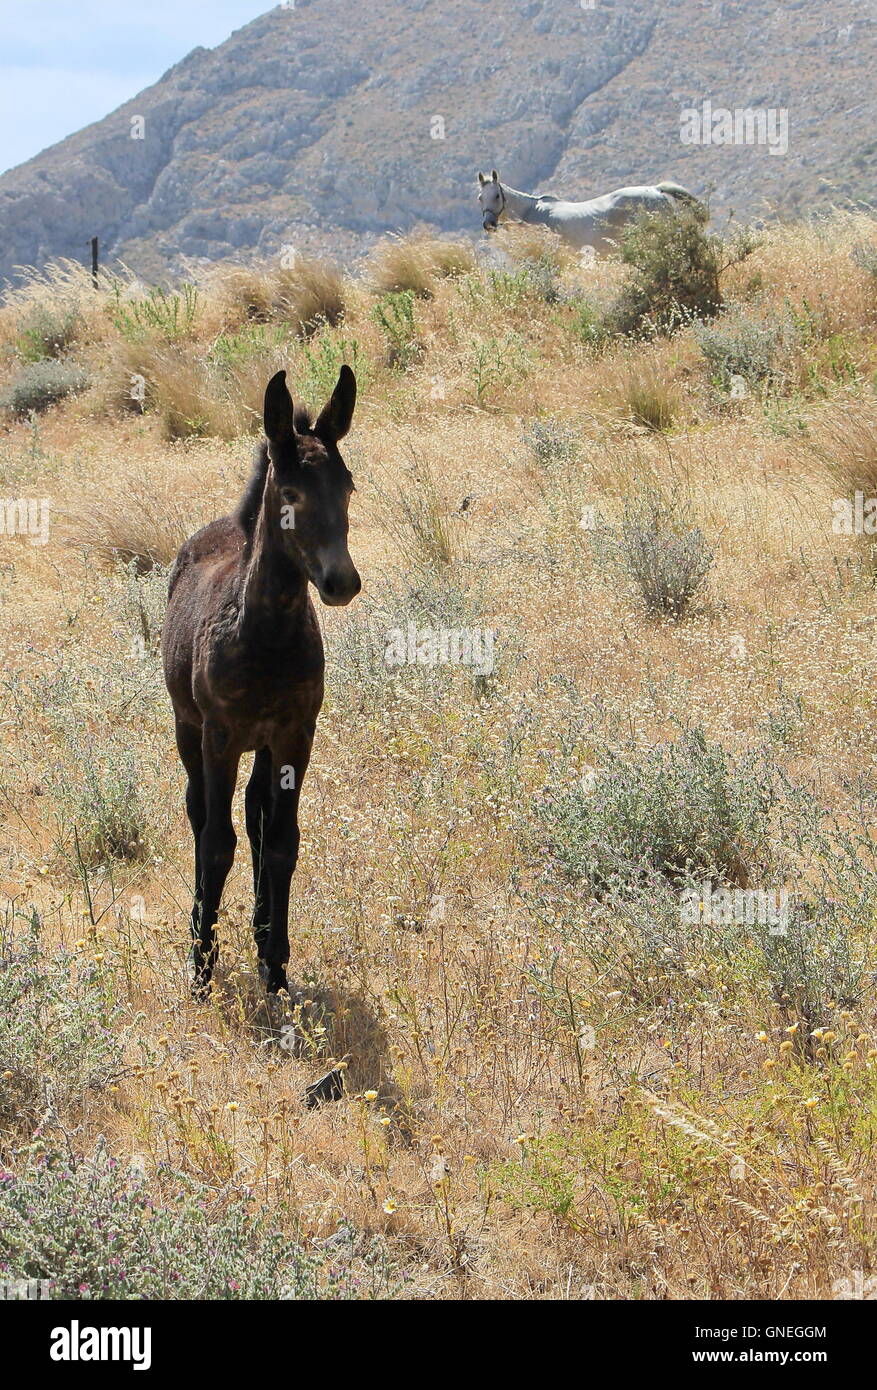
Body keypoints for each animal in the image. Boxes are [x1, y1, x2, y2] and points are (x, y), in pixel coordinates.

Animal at [161, 366, 361, 1000]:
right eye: (291, 496)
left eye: (348, 488)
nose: (341, 582)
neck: (266, 633)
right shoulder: (220, 734)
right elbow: (216, 842)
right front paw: (201, 966)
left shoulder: (296, 733)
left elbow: (280, 841)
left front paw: (274, 964)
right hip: (189, 729)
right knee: (200, 812)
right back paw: (203, 924)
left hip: (265, 744)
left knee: (254, 812)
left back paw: (258, 925)